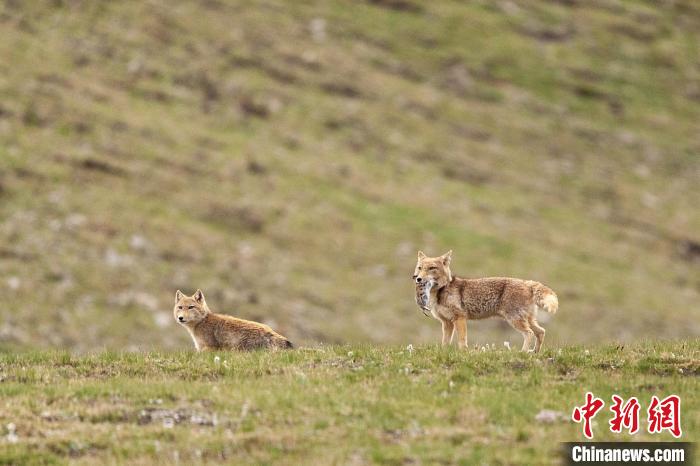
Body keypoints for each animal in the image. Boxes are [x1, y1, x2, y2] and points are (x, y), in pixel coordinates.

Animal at [416, 251, 556, 354]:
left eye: (432, 268)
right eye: (420, 268)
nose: (418, 278)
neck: (441, 291)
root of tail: (526, 282)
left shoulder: (460, 318)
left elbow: (462, 340)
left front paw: (463, 353)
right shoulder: (447, 323)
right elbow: (445, 343)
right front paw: (444, 352)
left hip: (515, 320)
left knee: (529, 333)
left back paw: (523, 352)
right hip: (528, 320)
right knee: (541, 332)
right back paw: (535, 352)